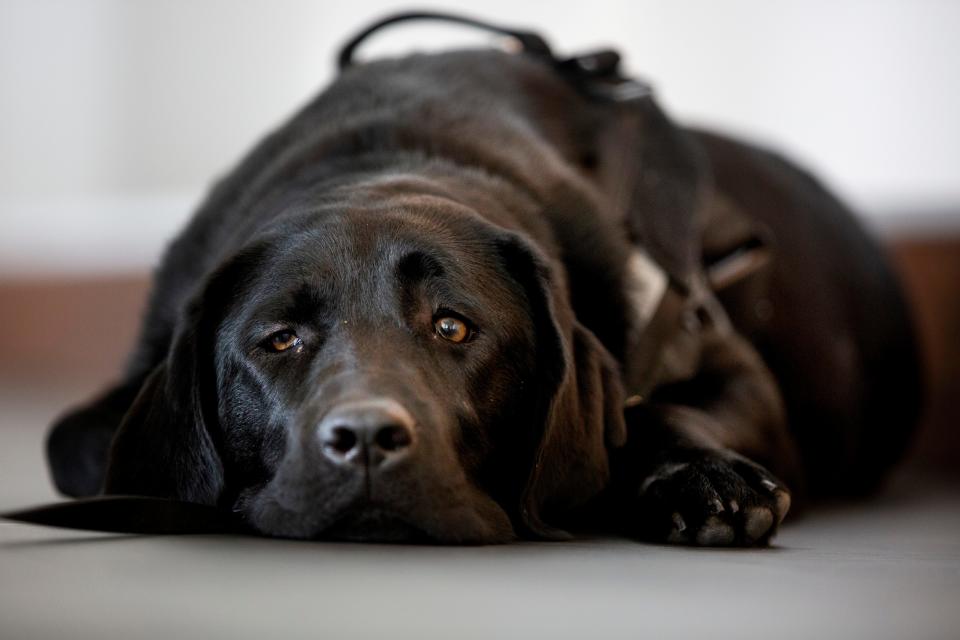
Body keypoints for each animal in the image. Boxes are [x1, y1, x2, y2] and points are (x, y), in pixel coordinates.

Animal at [13, 12, 924, 544]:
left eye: (453, 326)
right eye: (280, 339)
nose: (366, 440)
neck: (387, 160)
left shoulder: (732, 371)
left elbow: (657, 407)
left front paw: (702, 477)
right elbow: (78, 444)